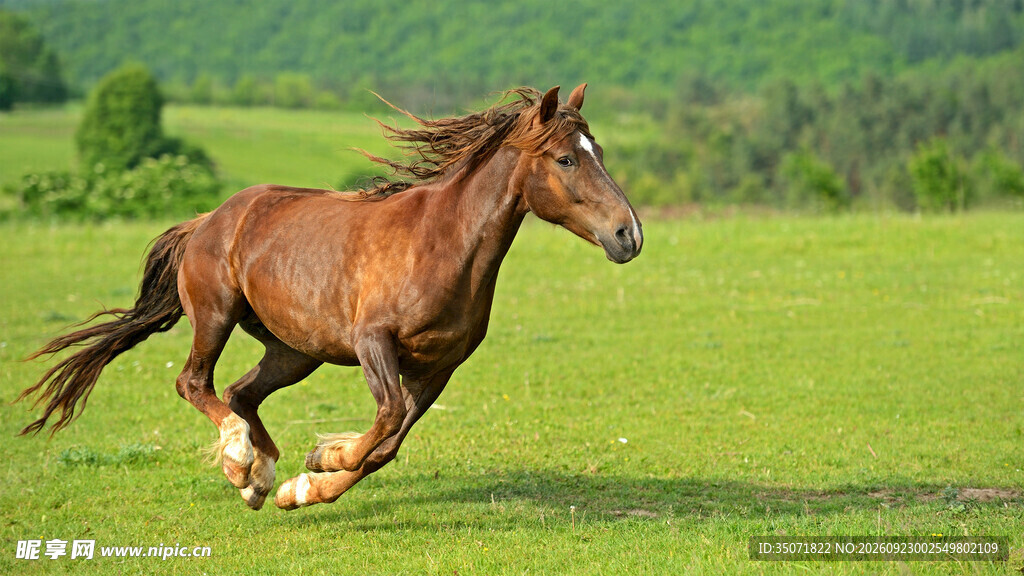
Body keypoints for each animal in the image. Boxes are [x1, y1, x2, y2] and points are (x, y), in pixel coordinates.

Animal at [17, 84, 643, 510]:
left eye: (598, 150)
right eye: (566, 158)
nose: (628, 235)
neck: (443, 244)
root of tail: (207, 220)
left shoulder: (439, 366)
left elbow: (388, 445)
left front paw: (303, 484)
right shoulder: (374, 342)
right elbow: (385, 421)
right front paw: (322, 460)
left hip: (295, 351)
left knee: (242, 393)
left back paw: (260, 480)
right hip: (216, 316)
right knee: (195, 383)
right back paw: (240, 462)